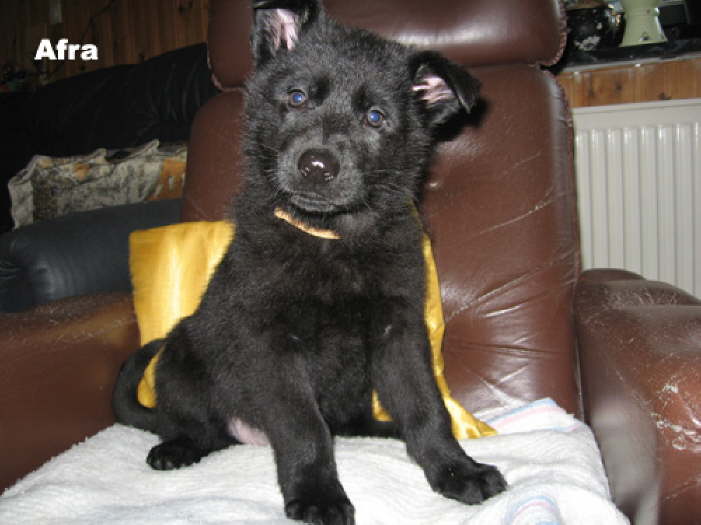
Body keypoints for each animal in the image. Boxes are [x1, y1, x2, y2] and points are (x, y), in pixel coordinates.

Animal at [113, 1, 506, 523]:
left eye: (376, 117)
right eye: (297, 98)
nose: (316, 166)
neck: (331, 239)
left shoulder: (399, 331)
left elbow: (426, 407)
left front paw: (455, 469)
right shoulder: (273, 344)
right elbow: (304, 428)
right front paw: (318, 494)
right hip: (180, 353)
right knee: (197, 426)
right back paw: (176, 447)